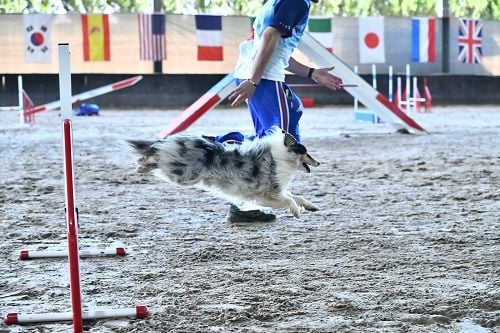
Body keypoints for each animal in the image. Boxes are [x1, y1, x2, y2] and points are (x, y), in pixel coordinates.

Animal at [126, 126, 320, 217]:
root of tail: (176, 140)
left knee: (156, 154)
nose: (318, 162)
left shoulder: (274, 193)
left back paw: (141, 165)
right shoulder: (267, 194)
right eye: (307, 152)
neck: (282, 157)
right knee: (158, 156)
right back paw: (142, 164)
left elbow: (296, 196)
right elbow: (289, 200)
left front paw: (311, 206)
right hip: (184, 175)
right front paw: (296, 211)